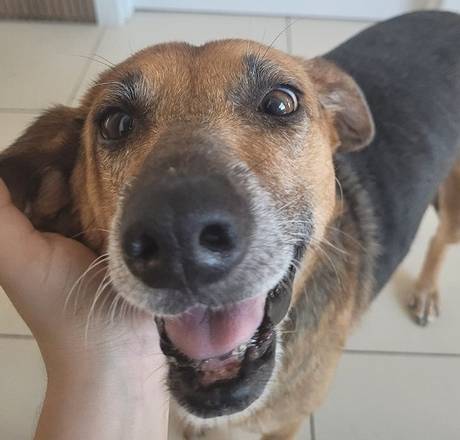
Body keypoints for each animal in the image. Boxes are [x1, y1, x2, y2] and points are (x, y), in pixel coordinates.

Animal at [1, 10, 460, 439]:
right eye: (116, 122)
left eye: (281, 103)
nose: (178, 234)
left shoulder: (287, 423)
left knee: (440, 239)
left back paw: (425, 292)